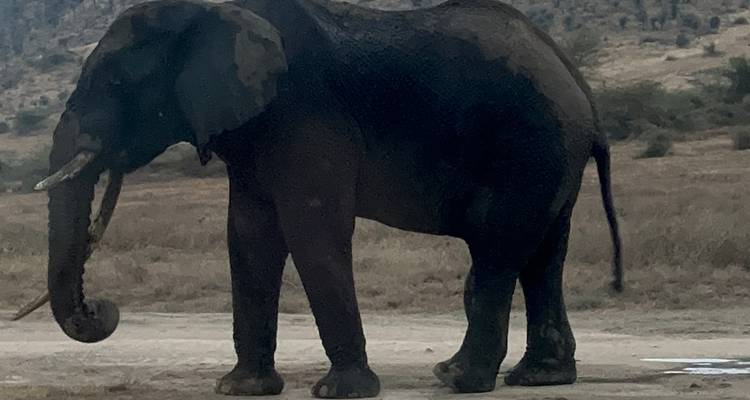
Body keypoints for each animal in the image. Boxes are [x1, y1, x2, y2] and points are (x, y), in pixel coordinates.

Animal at [24, 0, 623, 398]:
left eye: (116, 84)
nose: (103, 309)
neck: (213, 11)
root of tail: (583, 92)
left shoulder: (305, 114)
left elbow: (313, 233)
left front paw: (340, 392)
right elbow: (248, 239)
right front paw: (241, 389)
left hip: (528, 147)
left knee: (498, 254)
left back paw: (458, 379)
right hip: (550, 158)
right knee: (543, 257)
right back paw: (539, 377)